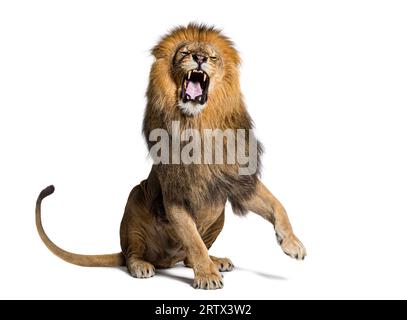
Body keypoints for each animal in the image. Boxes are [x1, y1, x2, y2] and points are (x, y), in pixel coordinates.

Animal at [36, 23, 308, 288]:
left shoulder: (235, 177)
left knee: (188, 258)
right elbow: (193, 239)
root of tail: (165, 262)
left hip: (218, 215)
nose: (199, 58)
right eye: (185, 53)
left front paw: (292, 243)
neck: (199, 124)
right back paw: (143, 266)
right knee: (134, 253)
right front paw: (207, 276)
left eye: (212, 57)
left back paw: (216, 260)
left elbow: (276, 204)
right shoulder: (174, 192)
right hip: (136, 196)